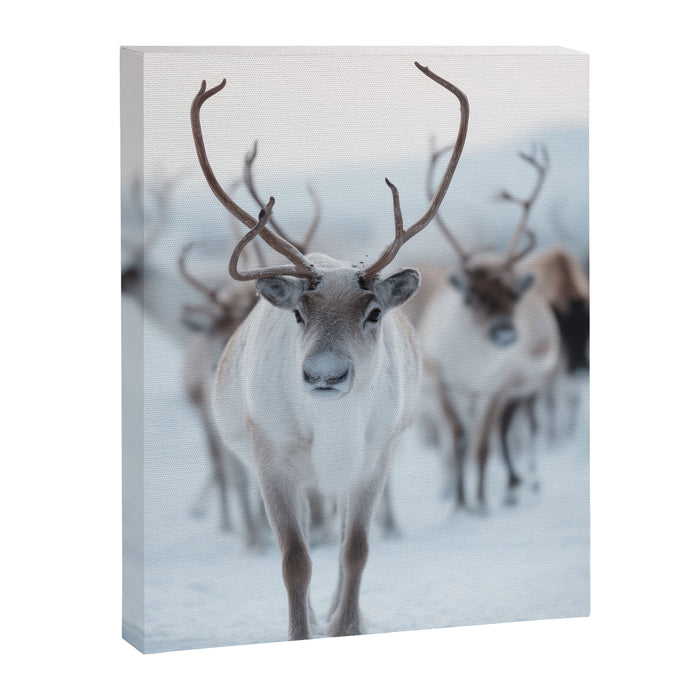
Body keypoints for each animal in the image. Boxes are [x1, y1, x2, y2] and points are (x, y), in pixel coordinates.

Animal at [190, 61, 469, 639]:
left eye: (374, 312)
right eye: (298, 313)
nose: (325, 375)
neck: (331, 428)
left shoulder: (373, 459)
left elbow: (356, 550)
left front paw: (347, 628)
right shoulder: (271, 459)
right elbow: (295, 560)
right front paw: (303, 631)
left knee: (344, 541)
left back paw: (344, 614)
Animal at [418, 143, 560, 512]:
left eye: (514, 295)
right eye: (472, 297)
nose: (505, 333)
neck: (474, 364)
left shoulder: (494, 388)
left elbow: (483, 445)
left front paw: (480, 503)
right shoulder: (444, 384)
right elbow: (458, 439)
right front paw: (459, 503)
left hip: (521, 389)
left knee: (512, 430)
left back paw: (519, 483)